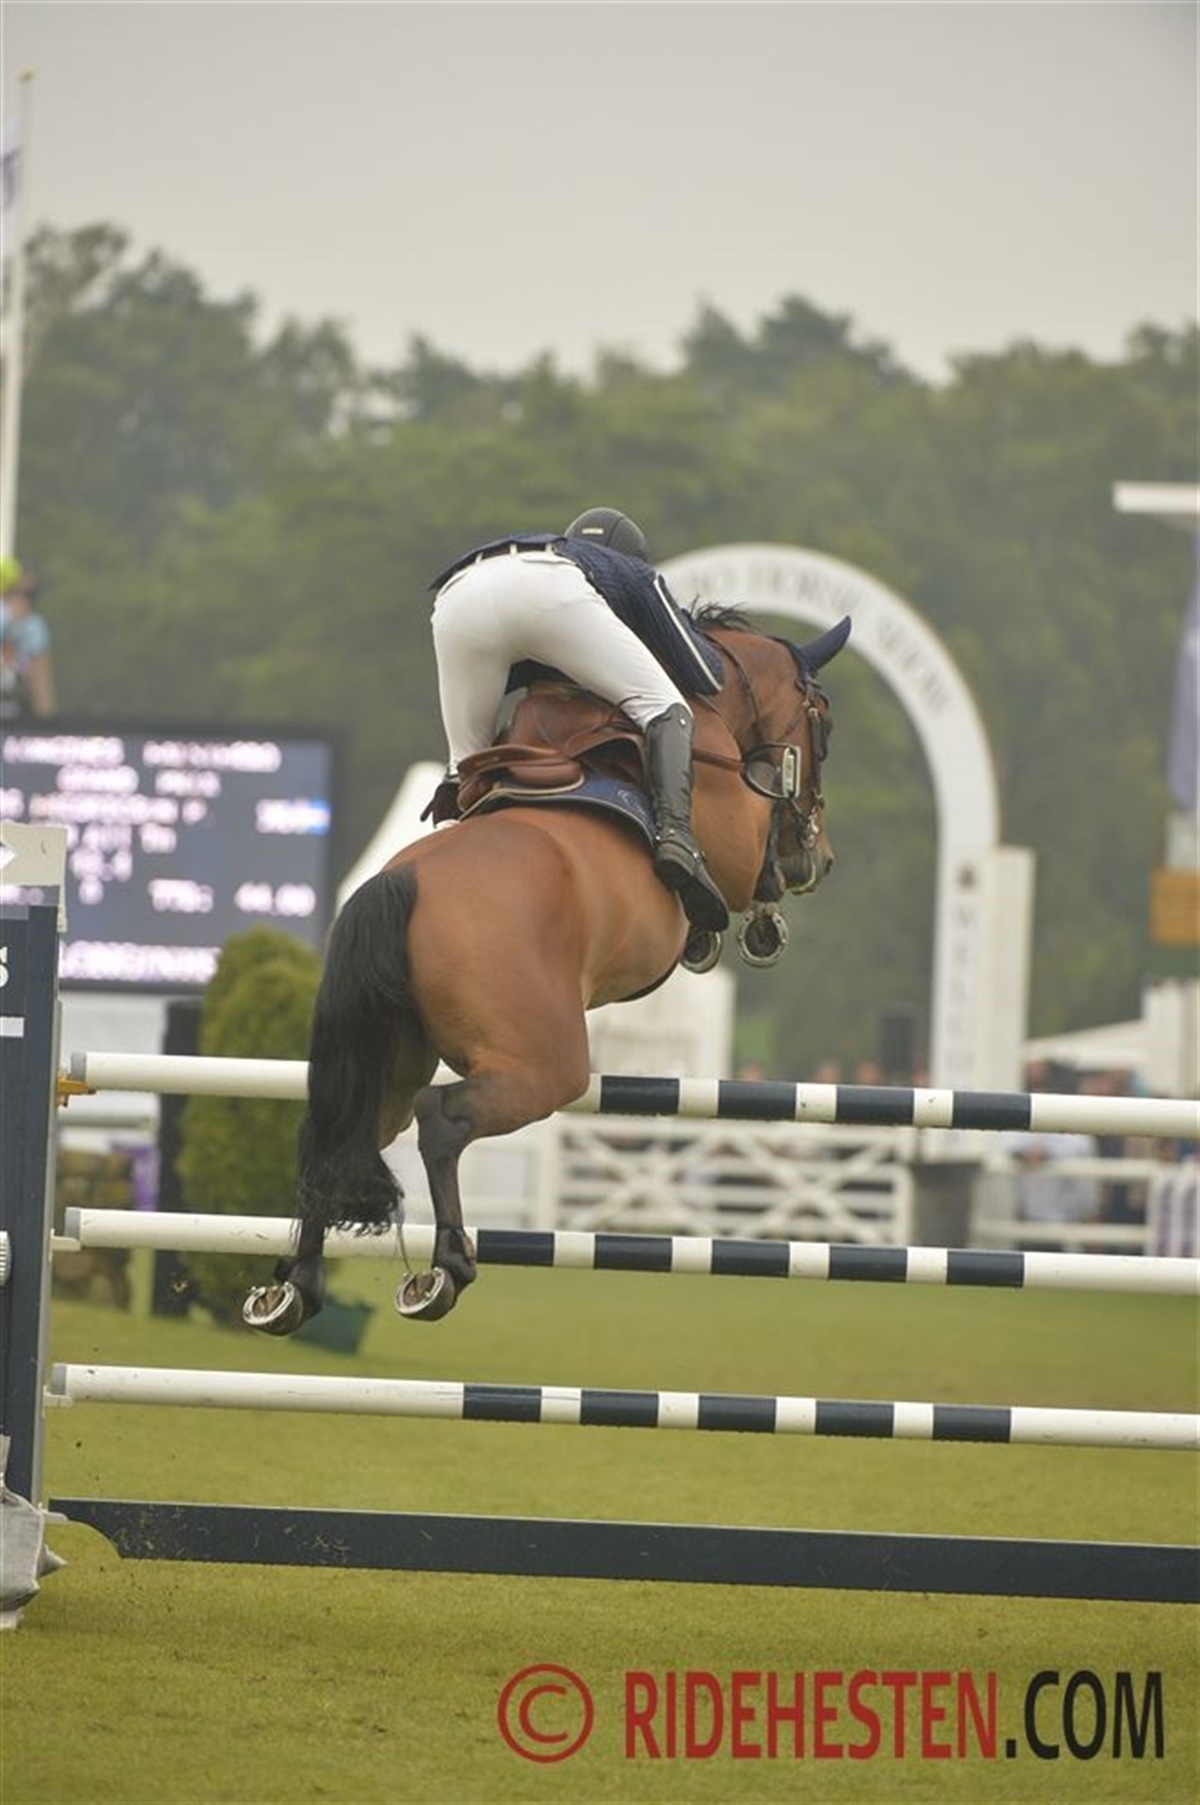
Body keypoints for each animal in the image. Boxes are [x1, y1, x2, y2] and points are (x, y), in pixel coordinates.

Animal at [244, 604, 851, 1334]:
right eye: (823, 722)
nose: (816, 860)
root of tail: (396, 885)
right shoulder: (732, 838)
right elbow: (747, 871)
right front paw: (755, 922)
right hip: (544, 1065)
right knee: (440, 1120)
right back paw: (445, 1269)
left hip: (388, 1058)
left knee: (341, 1135)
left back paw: (293, 1289)